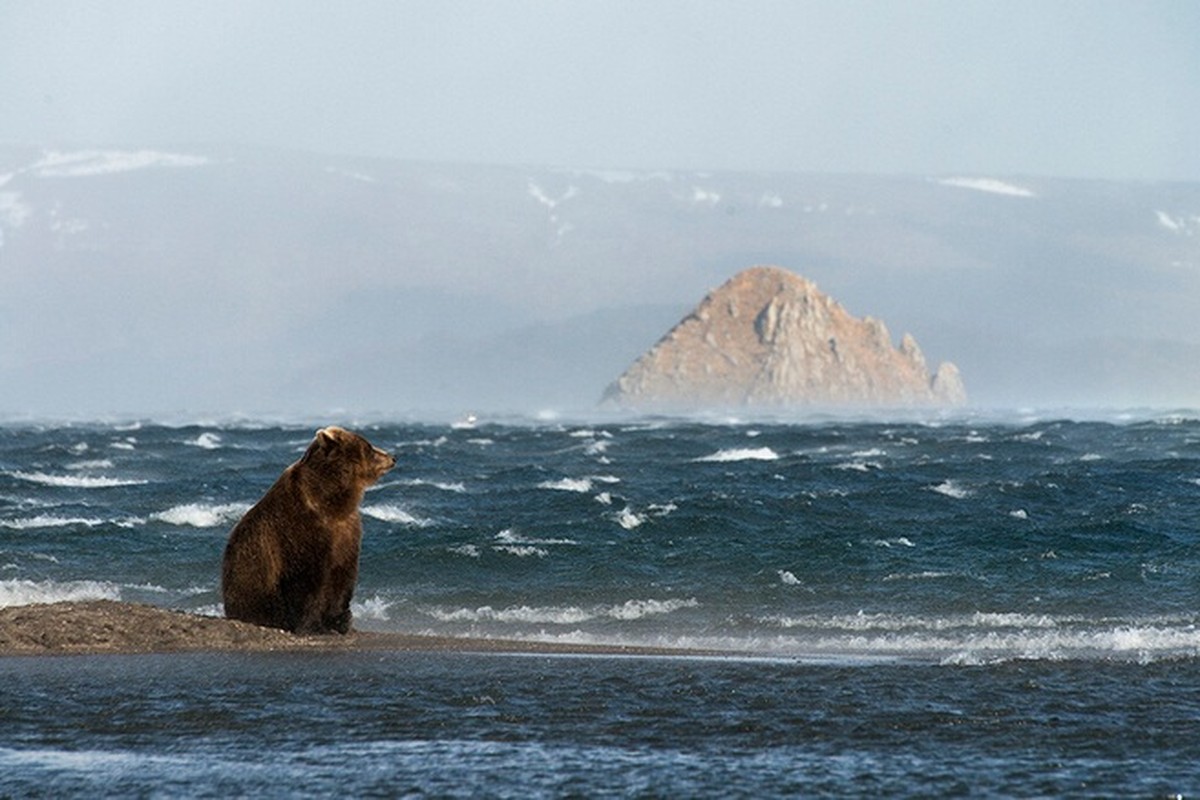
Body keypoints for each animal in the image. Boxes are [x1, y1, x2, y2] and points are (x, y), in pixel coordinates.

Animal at [218, 429, 396, 633]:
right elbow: (306, 580)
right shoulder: (302, 531)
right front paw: (313, 626)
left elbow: (342, 577)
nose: (392, 457)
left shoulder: (347, 532)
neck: (332, 502)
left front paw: (341, 622)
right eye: (369, 448)